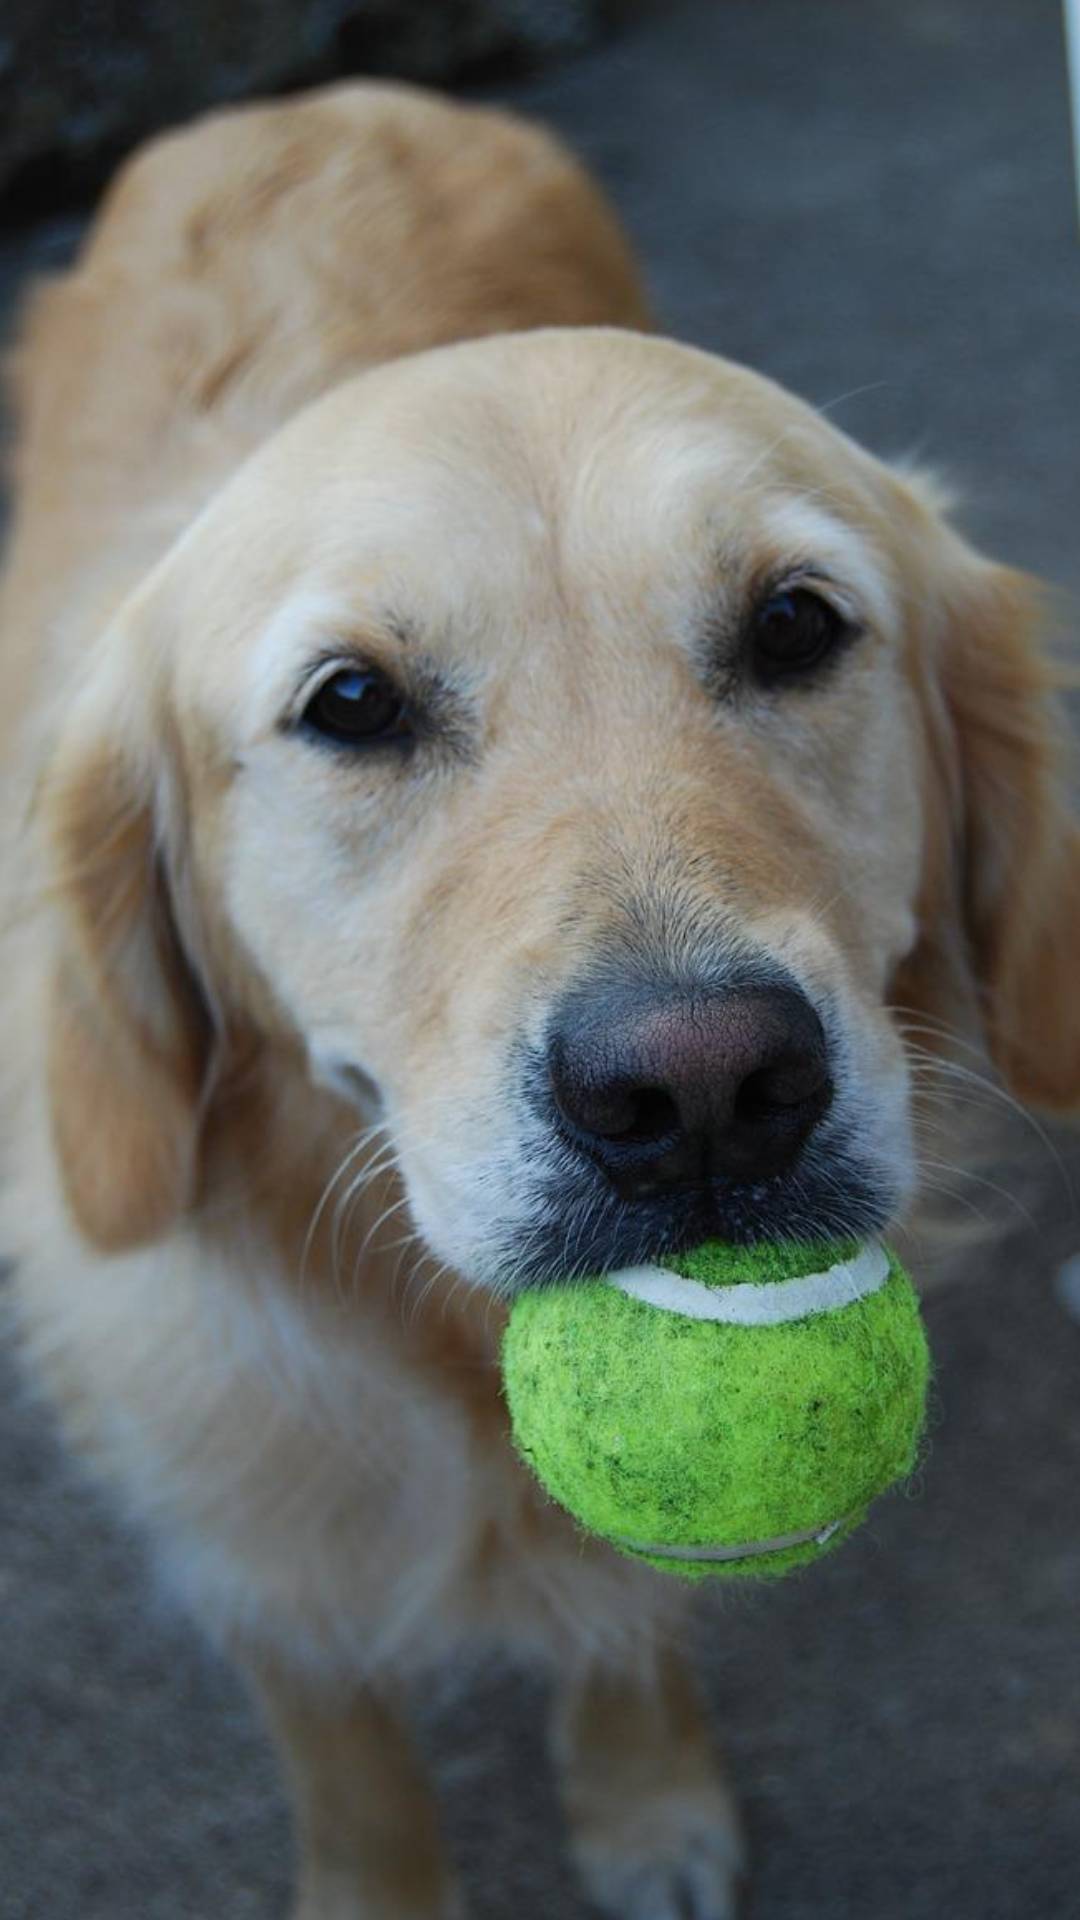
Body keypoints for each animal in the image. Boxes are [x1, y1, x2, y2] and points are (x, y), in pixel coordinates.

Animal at [2, 78, 1076, 1920]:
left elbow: (623, 1608)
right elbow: (349, 1760)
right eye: (351, 702)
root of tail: (317, 95)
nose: (703, 1092)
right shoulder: (248, 1529)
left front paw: (643, 1801)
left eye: (797, 625)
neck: (429, 1340)